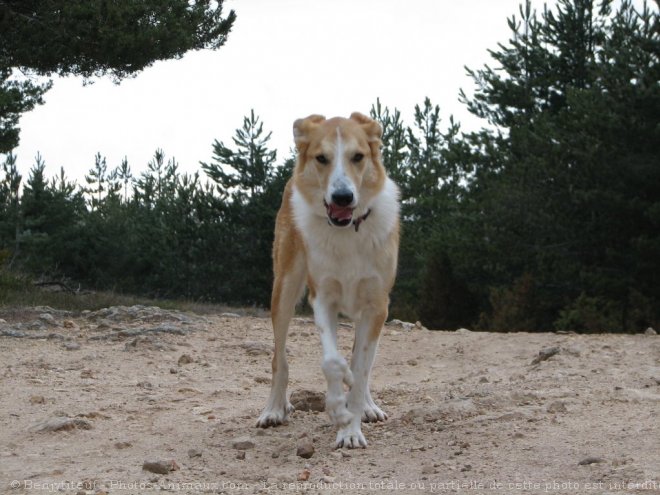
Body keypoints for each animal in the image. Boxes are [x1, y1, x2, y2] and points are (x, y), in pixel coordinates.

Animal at [256, 112, 402, 450]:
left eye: (358, 157)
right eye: (321, 158)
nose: (342, 197)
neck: (347, 232)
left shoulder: (377, 305)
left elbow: (362, 368)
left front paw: (351, 429)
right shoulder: (322, 297)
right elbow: (332, 362)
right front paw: (338, 410)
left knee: (364, 363)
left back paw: (368, 405)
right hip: (283, 290)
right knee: (279, 359)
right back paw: (273, 409)